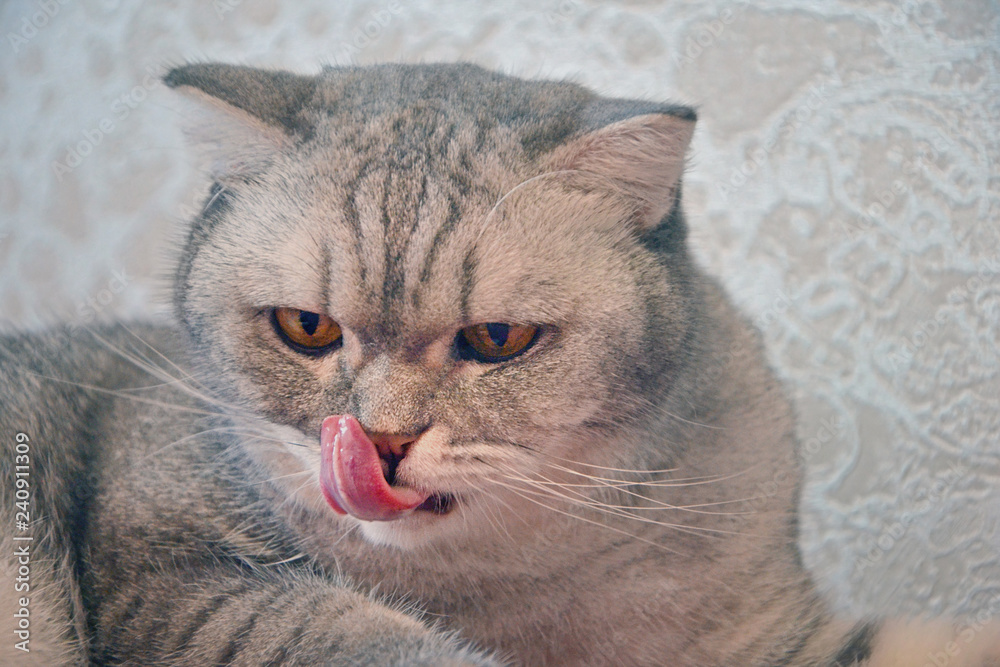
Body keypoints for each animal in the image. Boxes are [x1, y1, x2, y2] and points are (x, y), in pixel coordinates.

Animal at [1, 61, 1000, 664]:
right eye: (307, 327)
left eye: (497, 340)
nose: (379, 442)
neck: (501, 587)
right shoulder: (177, 585)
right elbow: (378, 641)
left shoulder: (781, 638)